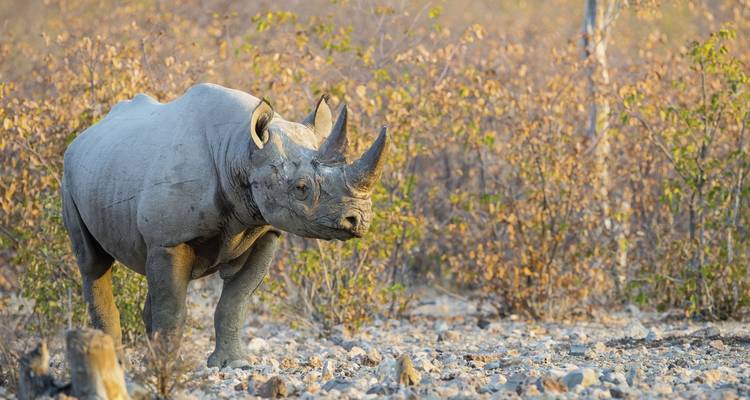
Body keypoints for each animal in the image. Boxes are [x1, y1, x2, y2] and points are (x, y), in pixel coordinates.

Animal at [62, 83, 388, 367]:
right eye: (301, 188)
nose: (359, 219)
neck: (240, 150)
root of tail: (83, 135)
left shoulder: (264, 230)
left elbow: (234, 303)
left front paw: (233, 363)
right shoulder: (170, 239)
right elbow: (174, 309)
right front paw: (169, 368)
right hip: (69, 174)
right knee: (93, 264)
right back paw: (116, 361)